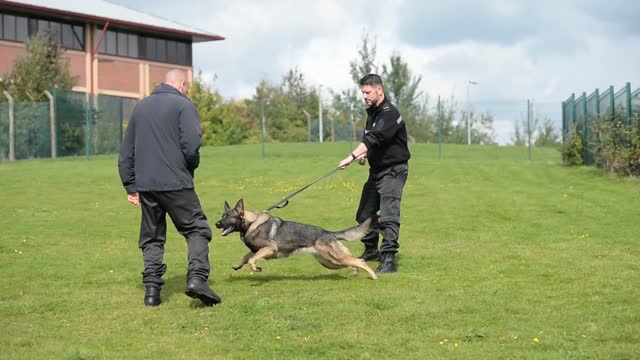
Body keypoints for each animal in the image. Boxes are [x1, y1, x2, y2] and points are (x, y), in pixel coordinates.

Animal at [214, 200, 380, 278]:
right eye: (222, 216)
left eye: (228, 217)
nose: (216, 224)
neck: (251, 223)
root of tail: (329, 233)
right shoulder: (256, 250)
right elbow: (246, 257)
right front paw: (238, 266)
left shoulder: (269, 248)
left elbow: (251, 260)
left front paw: (256, 268)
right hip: (330, 262)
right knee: (352, 264)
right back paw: (354, 273)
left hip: (334, 258)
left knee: (360, 261)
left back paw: (373, 276)